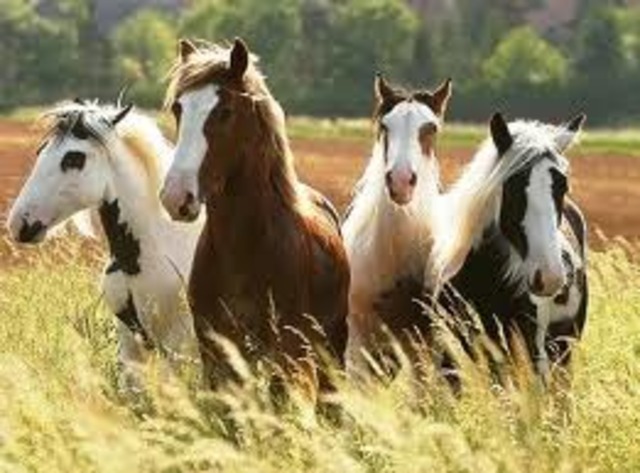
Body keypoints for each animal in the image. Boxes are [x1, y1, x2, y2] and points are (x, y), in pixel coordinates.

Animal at [160, 38, 349, 406]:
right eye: (178, 108)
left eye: (225, 111)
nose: (176, 197)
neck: (244, 248)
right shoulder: (217, 351)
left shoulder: (285, 351)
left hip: (330, 346)